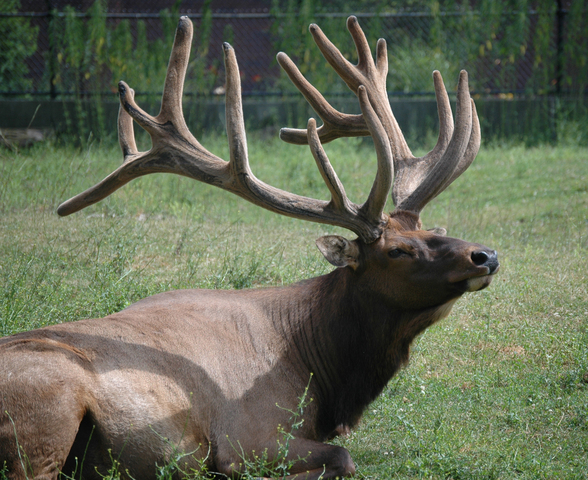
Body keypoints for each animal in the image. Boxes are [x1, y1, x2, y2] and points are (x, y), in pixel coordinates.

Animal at [1, 15, 500, 480]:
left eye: (432, 229)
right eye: (396, 251)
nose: (486, 255)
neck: (327, 377)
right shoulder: (249, 436)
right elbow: (343, 456)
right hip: (48, 407)